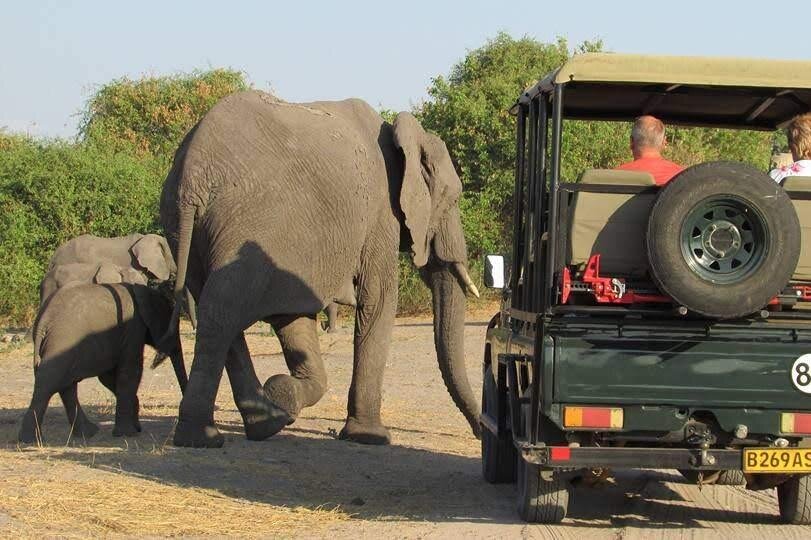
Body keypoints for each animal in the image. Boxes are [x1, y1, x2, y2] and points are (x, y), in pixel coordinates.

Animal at [19, 282, 185, 443]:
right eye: (170, 324)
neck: (145, 291)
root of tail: (43, 321)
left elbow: (108, 377)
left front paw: (134, 426)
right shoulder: (133, 329)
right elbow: (130, 372)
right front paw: (128, 434)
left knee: (65, 385)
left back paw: (87, 433)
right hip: (62, 341)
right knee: (49, 384)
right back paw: (31, 440)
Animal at [160, 91, 481, 448]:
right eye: (453, 199)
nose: (480, 431)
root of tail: (191, 176)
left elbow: (294, 317)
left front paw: (283, 395)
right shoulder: (380, 214)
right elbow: (379, 302)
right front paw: (369, 437)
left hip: (186, 230)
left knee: (215, 307)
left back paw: (263, 424)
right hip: (247, 223)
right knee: (222, 311)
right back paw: (201, 437)